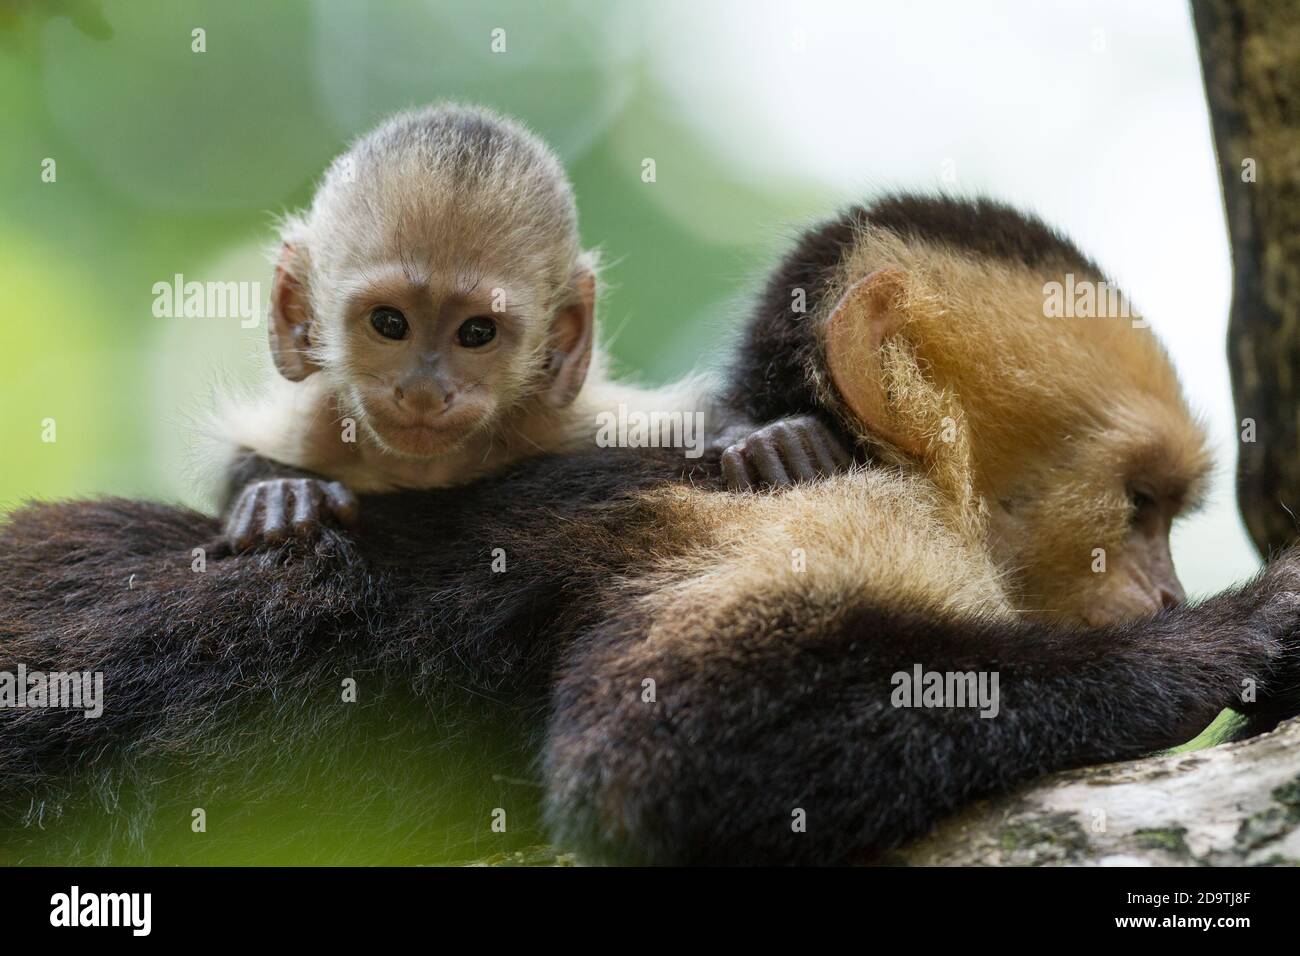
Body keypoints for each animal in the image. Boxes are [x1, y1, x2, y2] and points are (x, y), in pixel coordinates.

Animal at [218, 103, 848, 550]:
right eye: (389, 322)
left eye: (477, 333)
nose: (423, 391)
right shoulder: (317, 423)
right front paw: (278, 497)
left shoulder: (564, 422)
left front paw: (762, 439)